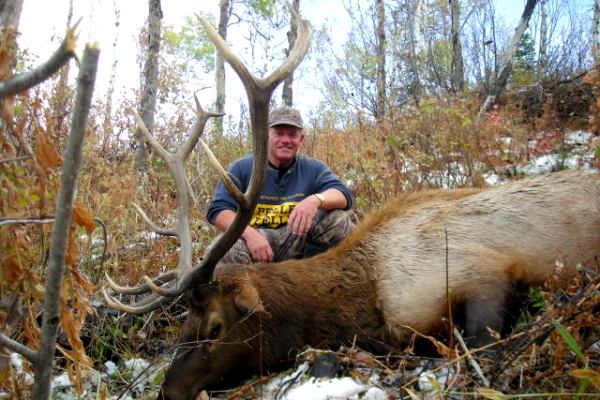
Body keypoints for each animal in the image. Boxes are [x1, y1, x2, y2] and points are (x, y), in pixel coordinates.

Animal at [101, 5, 596, 400]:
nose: (168, 391)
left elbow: (477, 343)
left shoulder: (484, 272)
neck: (366, 296)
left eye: (214, 327)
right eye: (182, 325)